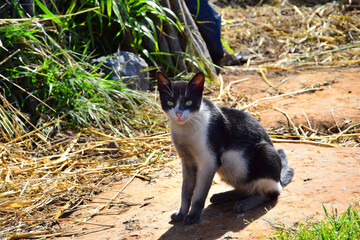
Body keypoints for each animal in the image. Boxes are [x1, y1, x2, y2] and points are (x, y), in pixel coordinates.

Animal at [156, 71, 294, 225]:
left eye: (188, 102)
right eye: (170, 102)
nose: (179, 114)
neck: (185, 130)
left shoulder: (208, 162)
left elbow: (199, 194)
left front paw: (193, 216)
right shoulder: (187, 162)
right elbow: (185, 191)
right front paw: (181, 213)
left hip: (265, 152)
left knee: (272, 192)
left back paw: (245, 203)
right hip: (232, 170)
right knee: (248, 188)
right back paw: (223, 197)